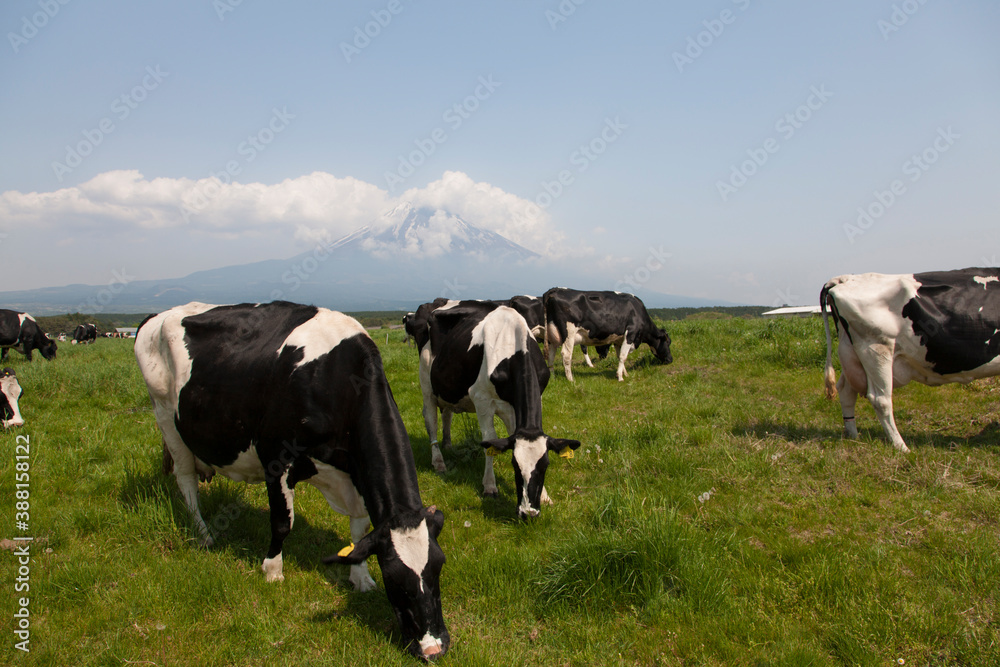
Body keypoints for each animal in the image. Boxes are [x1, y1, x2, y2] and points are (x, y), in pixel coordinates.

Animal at [134, 304, 450, 664]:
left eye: (438, 567)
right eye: (395, 578)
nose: (434, 647)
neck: (334, 377)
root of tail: (158, 316)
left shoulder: (353, 471)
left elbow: (359, 529)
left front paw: (359, 576)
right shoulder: (275, 456)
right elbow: (282, 522)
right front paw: (272, 570)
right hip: (166, 417)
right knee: (186, 482)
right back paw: (204, 535)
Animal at [420, 300, 580, 520]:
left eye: (545, 465)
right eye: (514, 465)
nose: (528, 513)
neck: (512, 347)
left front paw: (546, 496)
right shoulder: (482, 400)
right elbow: (490, 441)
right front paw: (489, 486)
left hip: (448, 390)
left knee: (447, 415)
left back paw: (448, 445)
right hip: (427, 386)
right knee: (431, 422)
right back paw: (438, 462)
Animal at [544, 288, 676, 380]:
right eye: (667, 342)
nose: (670, 359)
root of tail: (555, 290)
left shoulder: (618, 339)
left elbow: (619, 355)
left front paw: (624, 373)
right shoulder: (631, 332)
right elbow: (623, 356)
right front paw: (620, 377)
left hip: (552, 336)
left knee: (551, 355)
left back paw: (553, 377)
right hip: (569, 334)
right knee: (566, 355)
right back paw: (571, 379)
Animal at [824, 268, 1000, 456]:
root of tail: (846, 279)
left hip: (851, 353)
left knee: (847, 390)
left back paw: (854, 435)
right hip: (876, 348)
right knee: (880, 399)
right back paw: (901, 446)